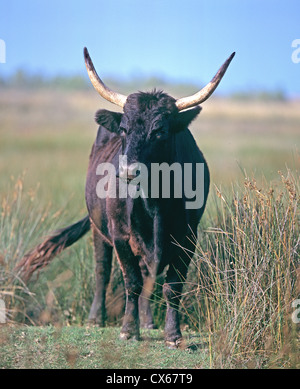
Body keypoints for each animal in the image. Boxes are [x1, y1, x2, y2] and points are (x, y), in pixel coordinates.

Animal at [17, 47, 234, 348]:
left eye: (160, 131)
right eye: (124, 129)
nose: (128, 171)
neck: (154, 201)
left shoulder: (188, 237)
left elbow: (172, 286)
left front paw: (173, 335)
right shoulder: (120, 235)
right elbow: (130, 281)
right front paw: (129, 330)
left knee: (147, 276)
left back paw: (148, 321)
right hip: (98, 229)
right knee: (102, 272)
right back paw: (96, 318)